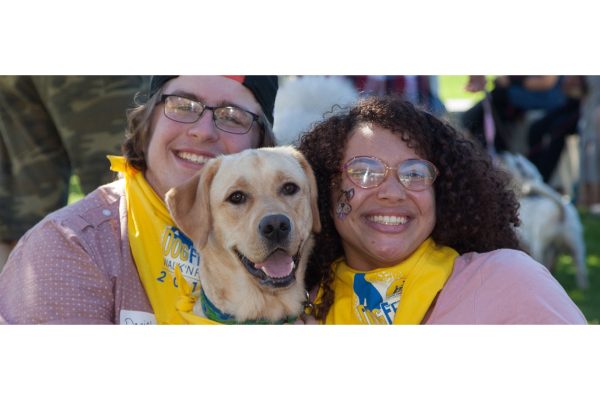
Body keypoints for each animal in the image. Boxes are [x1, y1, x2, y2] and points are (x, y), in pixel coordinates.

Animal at [494, 152, 588, 290]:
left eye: (518, 163)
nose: (502, 153)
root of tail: (562, 212)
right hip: (576, 244)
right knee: (580, 268)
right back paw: (582, 286)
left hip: (540, 244)